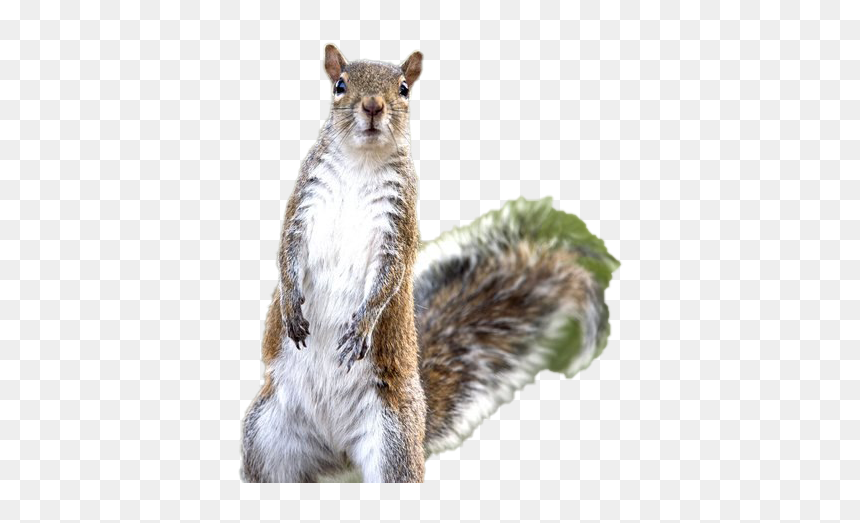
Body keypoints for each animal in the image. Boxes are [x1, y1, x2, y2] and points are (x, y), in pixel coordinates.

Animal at [240, 44, 620, 483]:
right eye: (340, 85)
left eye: (404, 89)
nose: (373, 106)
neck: (360, 163)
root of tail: (337, 451)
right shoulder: (301, 208)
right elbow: (287, 254)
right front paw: (291, 307)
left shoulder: (398, 228)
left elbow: (388, 279)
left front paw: (361, 327)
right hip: (265, 439)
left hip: (393, 444)